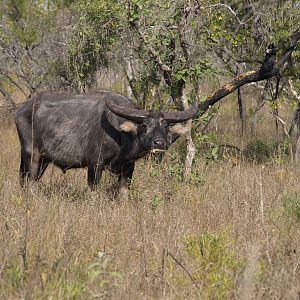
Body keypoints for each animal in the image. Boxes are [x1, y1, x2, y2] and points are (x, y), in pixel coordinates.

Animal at [14, 91, 198, 199]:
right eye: (144, 124)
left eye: (165, 125)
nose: (159, 142)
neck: (121, 138)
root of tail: (23, 110)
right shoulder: (95, 164)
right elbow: (93, 191)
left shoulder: (128, 167)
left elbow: (123, 193)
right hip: (31, 155)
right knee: (28, 181)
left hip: (43, 160)